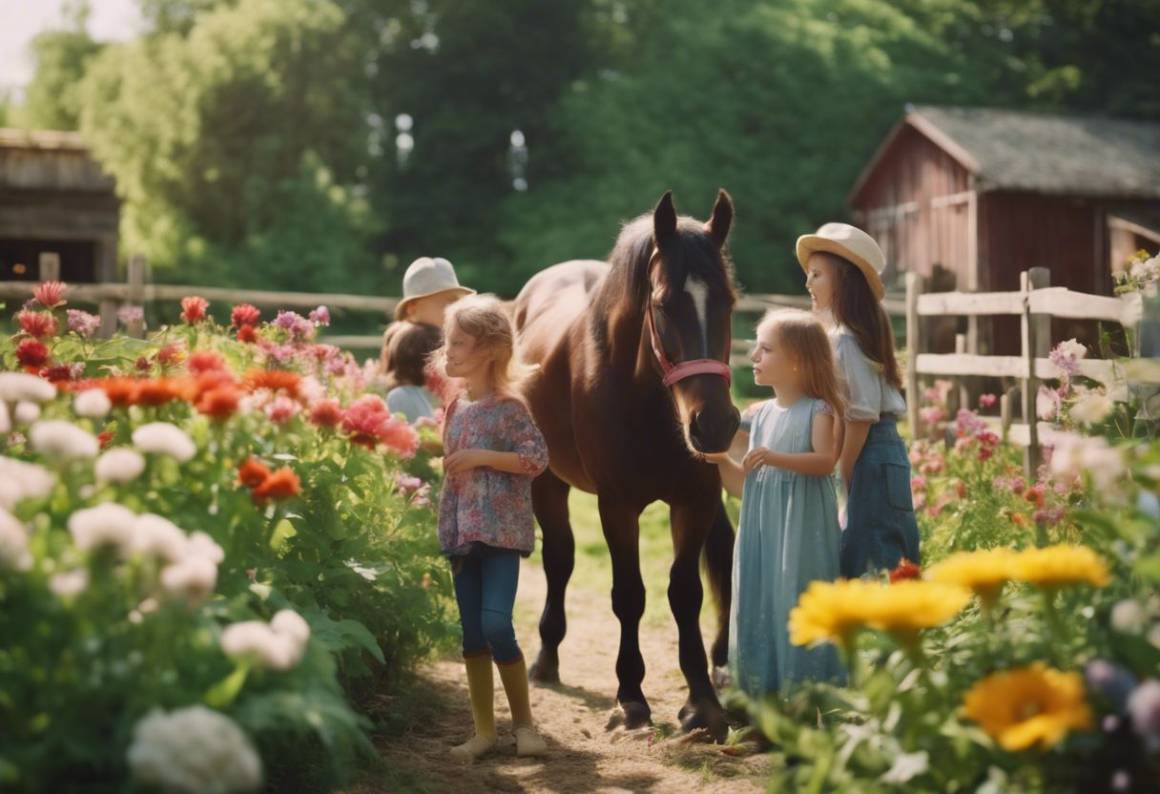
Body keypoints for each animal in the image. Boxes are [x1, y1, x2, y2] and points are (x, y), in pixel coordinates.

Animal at [512, 190, 737, 738]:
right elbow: (629, 594)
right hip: (547, 483)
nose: (715, 425)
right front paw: (631, 698)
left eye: (728, 301)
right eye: (663, 304)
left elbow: (686, 592)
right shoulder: (618, 505)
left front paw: (702, 702)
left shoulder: (695, 501)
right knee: (560, 558)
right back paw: (546, 657)